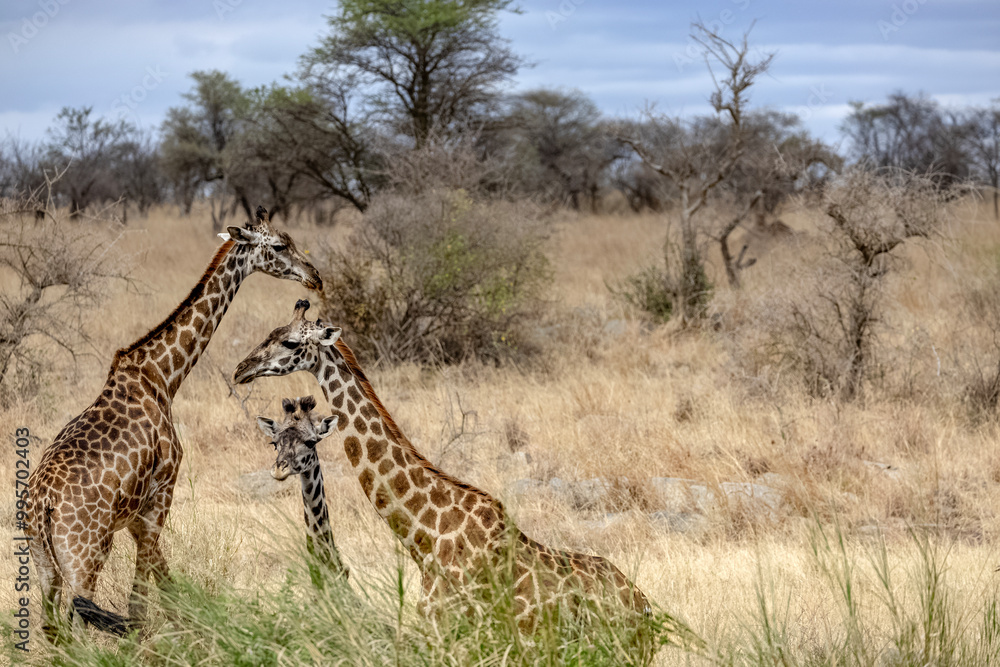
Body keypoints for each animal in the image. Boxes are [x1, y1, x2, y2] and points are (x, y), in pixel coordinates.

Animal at [26, 207, 323, 639]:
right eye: (281, 246)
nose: (315, 276)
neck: (163, 377)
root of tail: (42, 505)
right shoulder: (159, 498)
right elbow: (143, 601)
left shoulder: (137, 518)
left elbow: (160, 587)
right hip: (85, 556)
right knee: (78, 627)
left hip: (44, 562)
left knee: (52, 630)